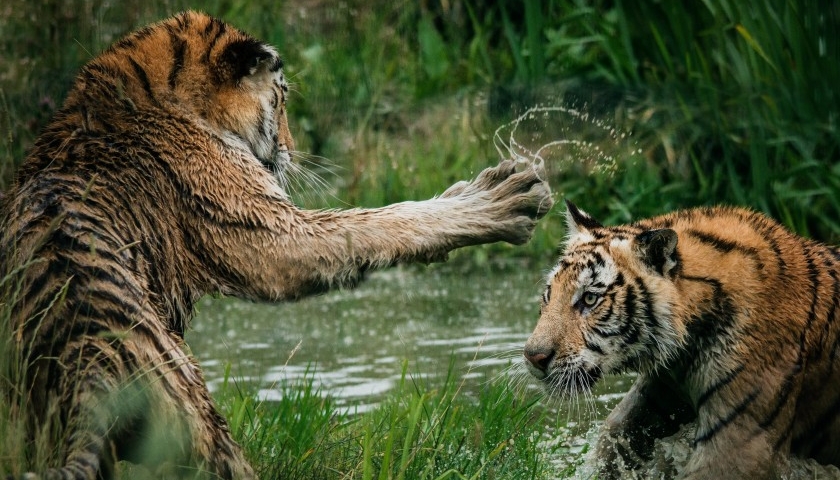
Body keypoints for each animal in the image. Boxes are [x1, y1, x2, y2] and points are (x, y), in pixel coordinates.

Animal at [0, 11, 556, 480]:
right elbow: (379, 222)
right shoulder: (269, 233)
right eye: (283, 99)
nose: (290, 150)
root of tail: (88, 363)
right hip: (201, 423)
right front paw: (501, 199)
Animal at [524, 201, 840, 478]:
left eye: (590, 298)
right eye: (549, 294)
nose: (533, 356)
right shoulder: (660, 393)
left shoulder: (741, 445)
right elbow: (612, 440)